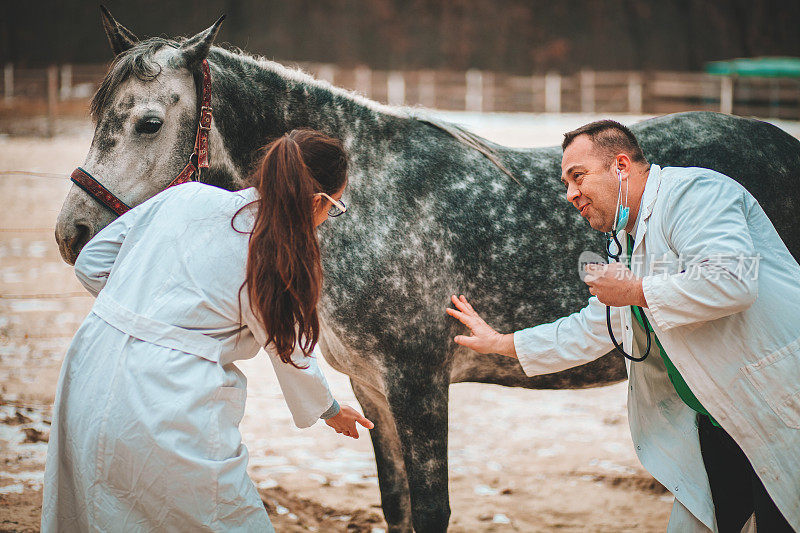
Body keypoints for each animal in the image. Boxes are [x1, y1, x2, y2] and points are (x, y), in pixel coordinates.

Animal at [56, 9, 800, 532]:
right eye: (96, 112)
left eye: (149, 122)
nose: (72, 233)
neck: (371, 197)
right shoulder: (373, 389)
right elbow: (399, 508)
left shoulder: (419, 383)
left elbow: (433, 509)